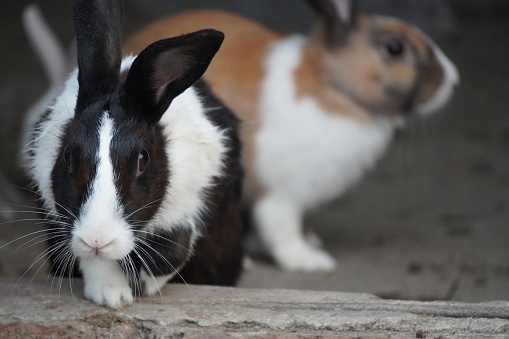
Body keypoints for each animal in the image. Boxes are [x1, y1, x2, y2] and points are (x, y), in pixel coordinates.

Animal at [24, 0, 243, 310]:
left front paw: (145, 282)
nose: (97, 239)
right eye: (68, 155)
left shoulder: (195, 199)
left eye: (142, 159)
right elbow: (92, 261)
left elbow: (174, 250)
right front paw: (111, 296)